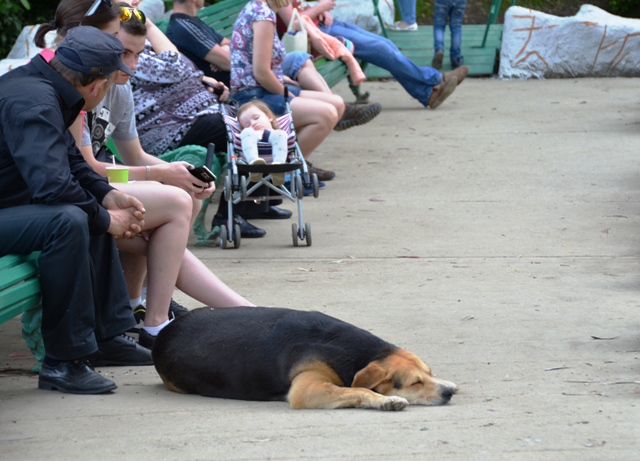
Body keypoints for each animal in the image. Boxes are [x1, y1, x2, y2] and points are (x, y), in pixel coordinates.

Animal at [152, 306, 458, 410]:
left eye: (430, 374)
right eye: (415, 383)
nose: (447, 393)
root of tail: (165, 332)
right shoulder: (307, 388)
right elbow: (357, 389)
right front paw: (385, 400)